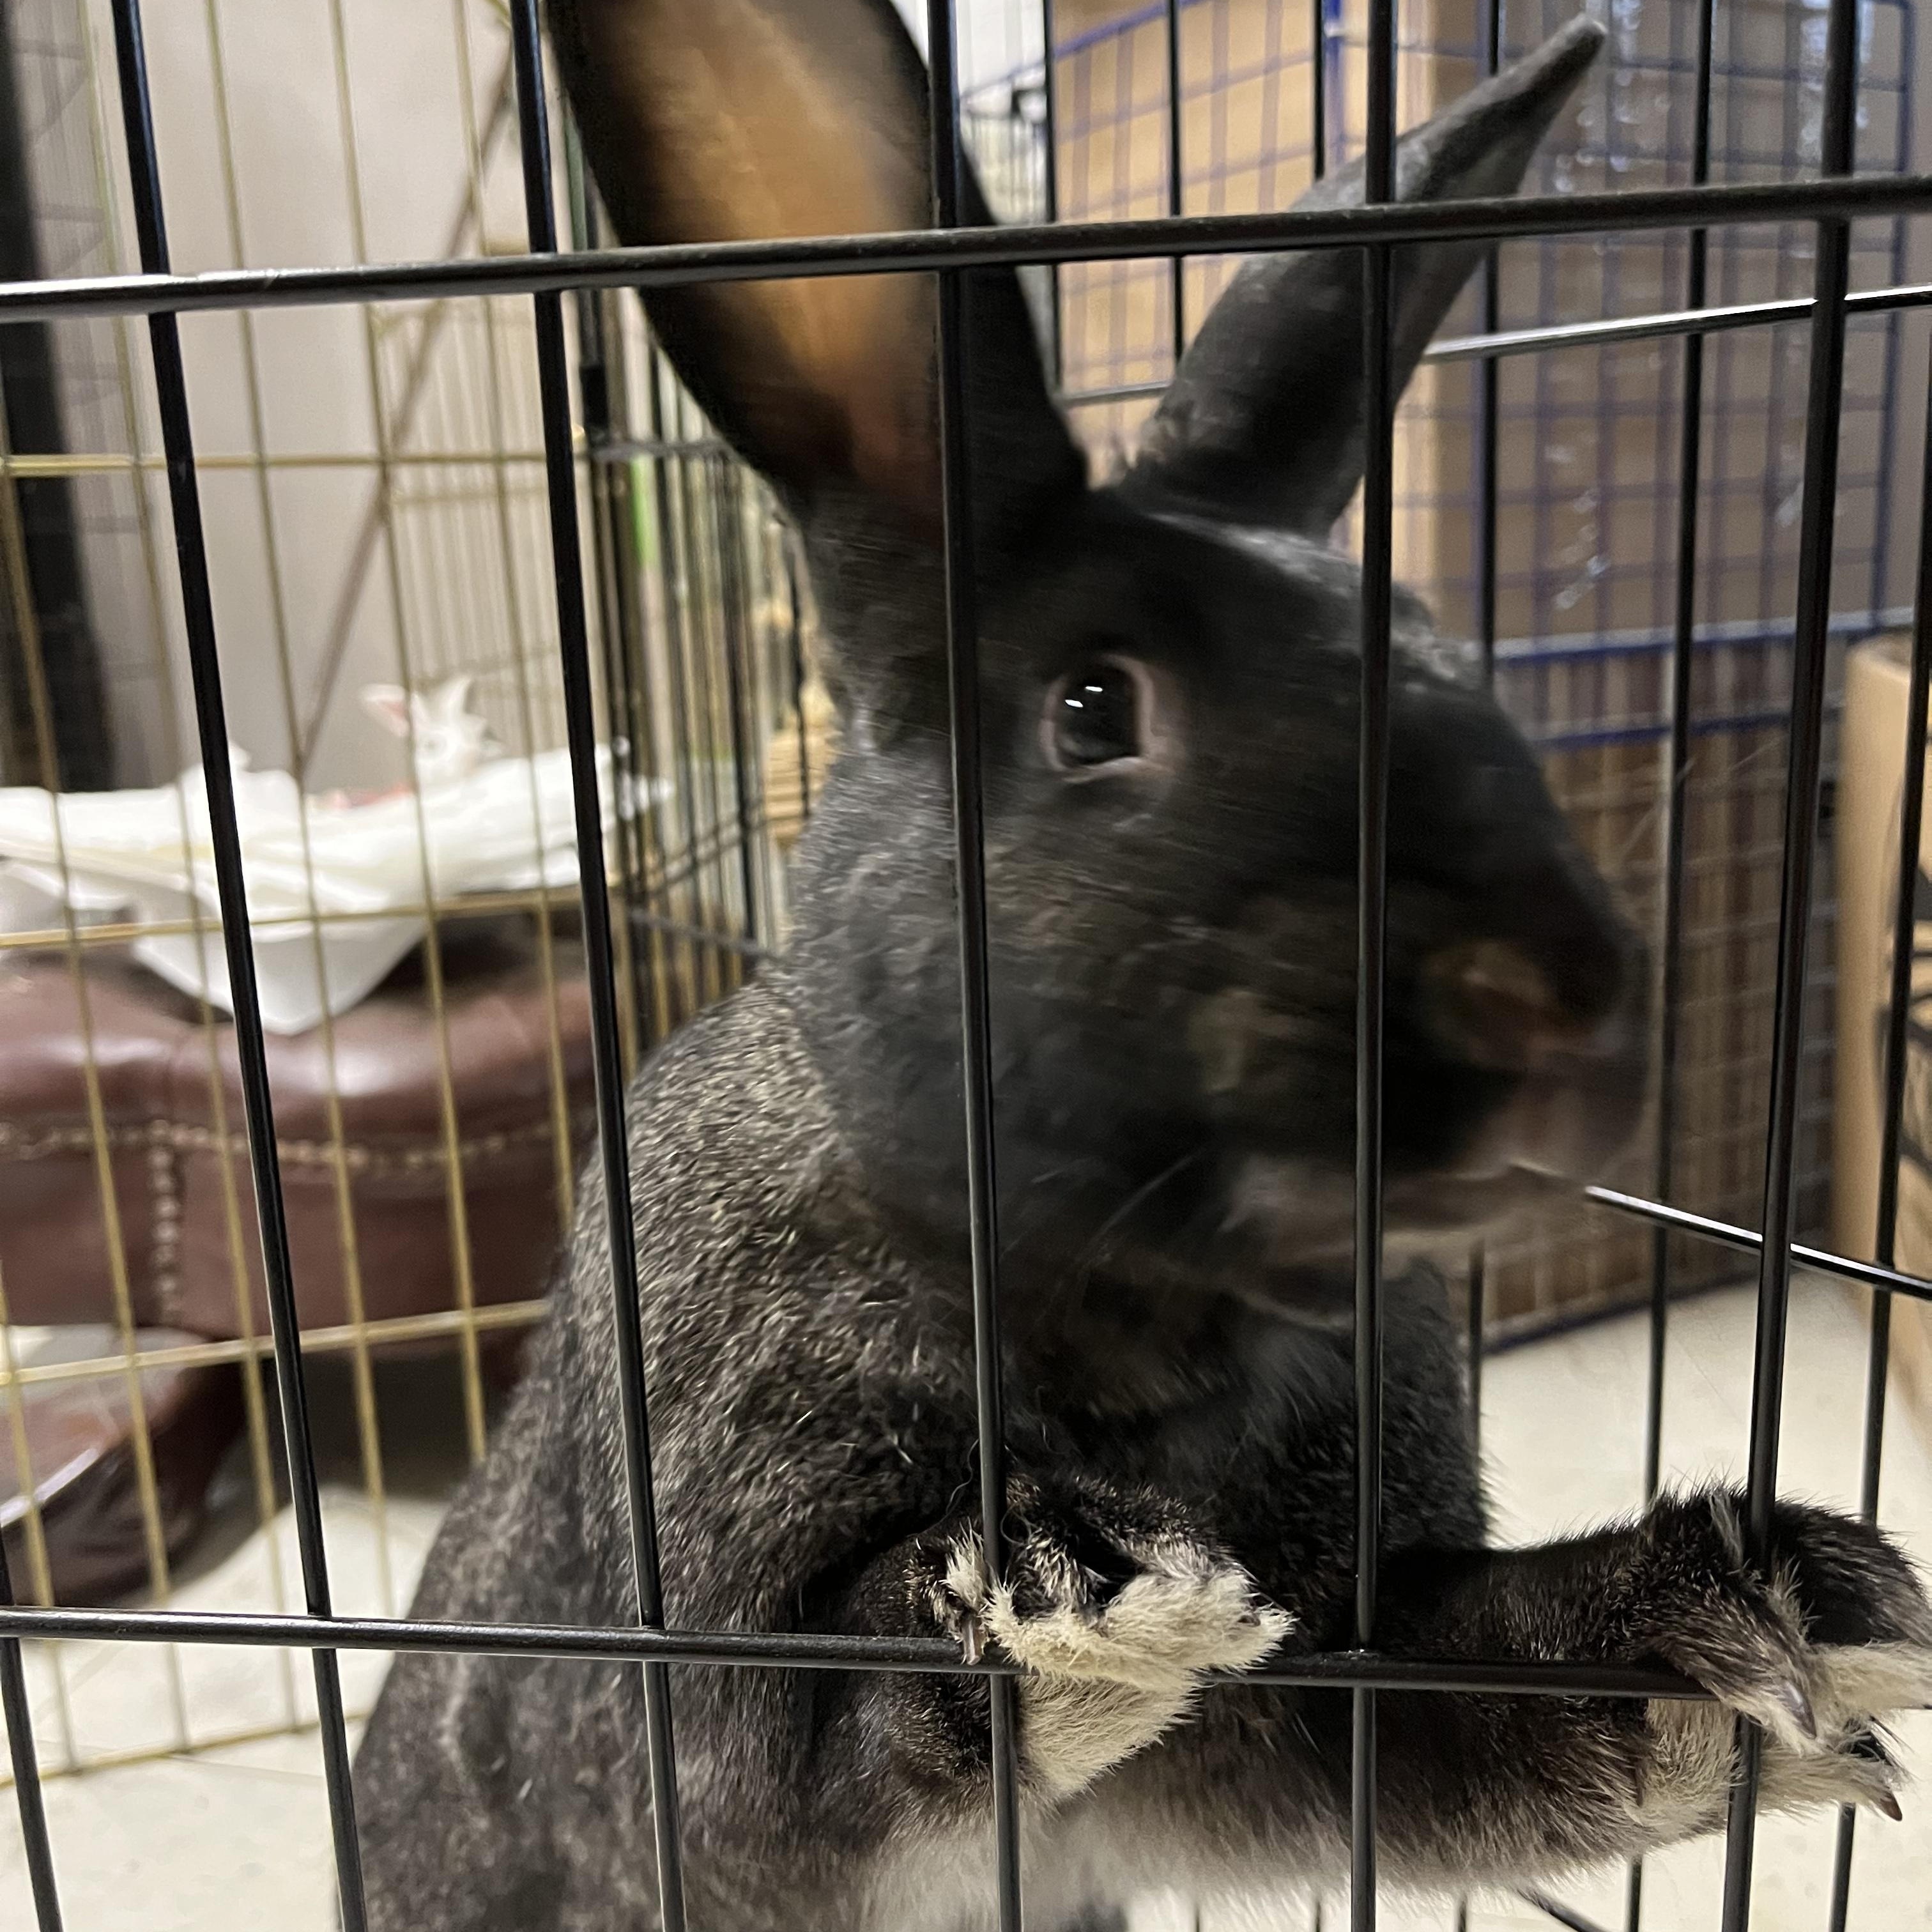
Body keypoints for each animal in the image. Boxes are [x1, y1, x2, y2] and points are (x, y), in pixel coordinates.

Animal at [352, 5, 1932, 1929]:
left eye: (1434, 643)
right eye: (1096, 707)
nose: (1568, 1017)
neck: (1127, 1328)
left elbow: (1445, 1715)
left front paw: (1769, 1630)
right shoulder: (684, 1713)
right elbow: (811, 1745)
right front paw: (1077, 1590)